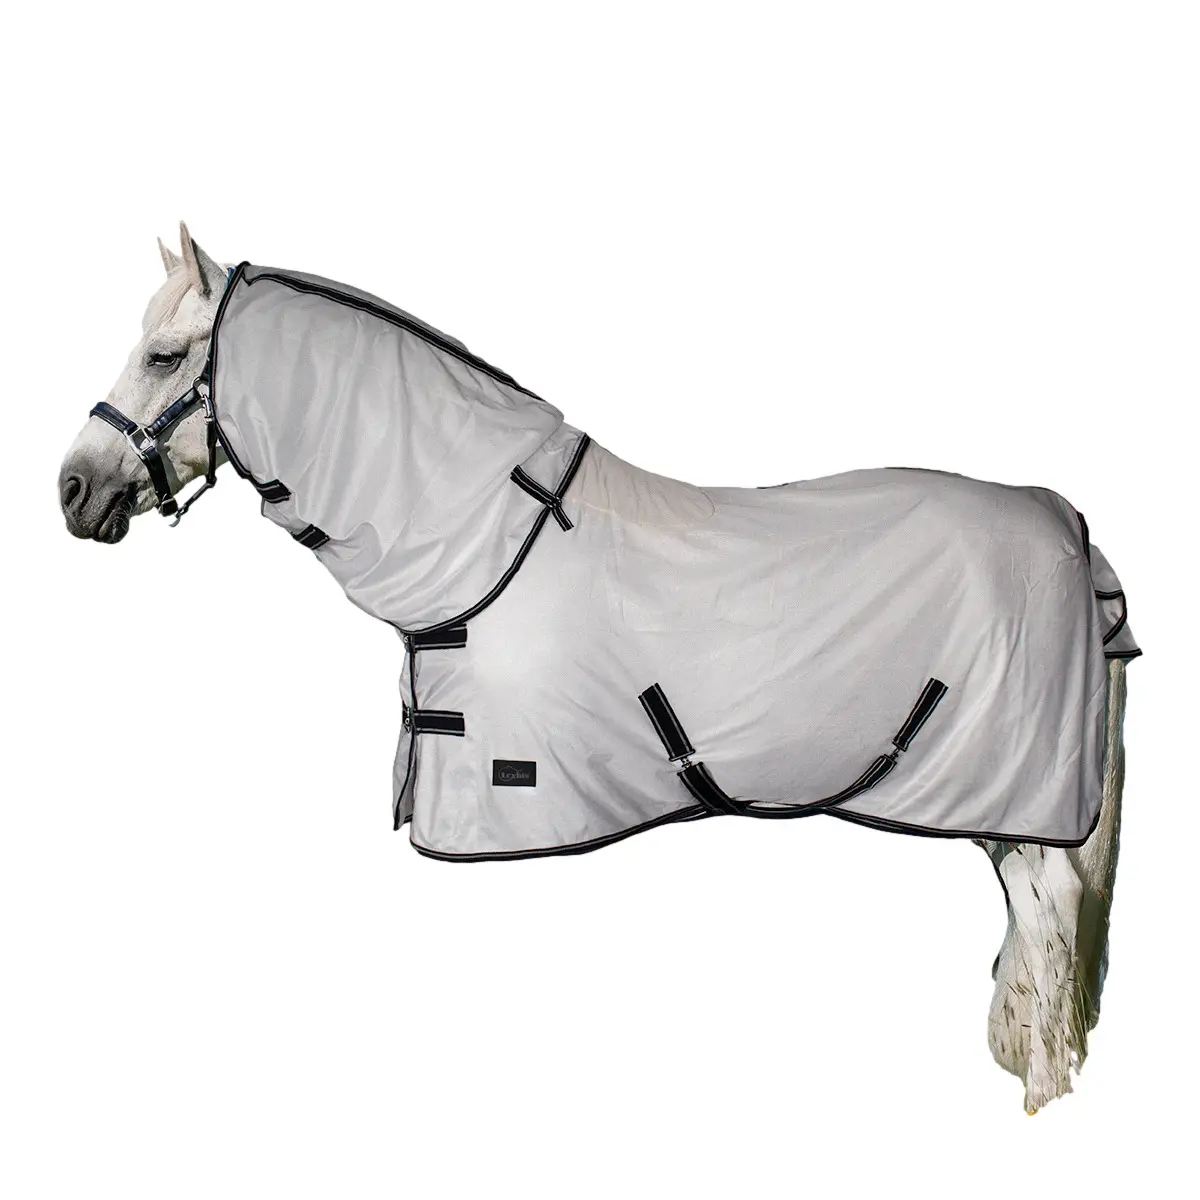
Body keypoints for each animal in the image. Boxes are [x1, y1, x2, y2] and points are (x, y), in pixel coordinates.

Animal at [58, 224, 1138, 1113]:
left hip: (1022, 813)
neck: (489, 539)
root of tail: (1073, 532)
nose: (71, 488)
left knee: (1050, 940)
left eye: (164, 356)